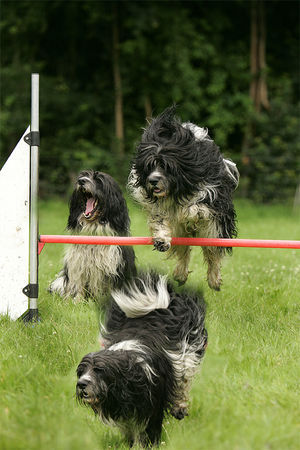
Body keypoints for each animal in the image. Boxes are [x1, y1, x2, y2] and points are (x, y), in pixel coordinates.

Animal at [127, 107, 238, 292]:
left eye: (166, 166)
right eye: (149, 166)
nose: (153, 180)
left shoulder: (212, 196)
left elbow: (196, 208)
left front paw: (191, 212)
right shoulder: (157, 204)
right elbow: (160, 220)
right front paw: (161, 239)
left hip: (215, 227)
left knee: (212, 250)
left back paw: (214, 279)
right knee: (184, 248)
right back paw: (180, 273)